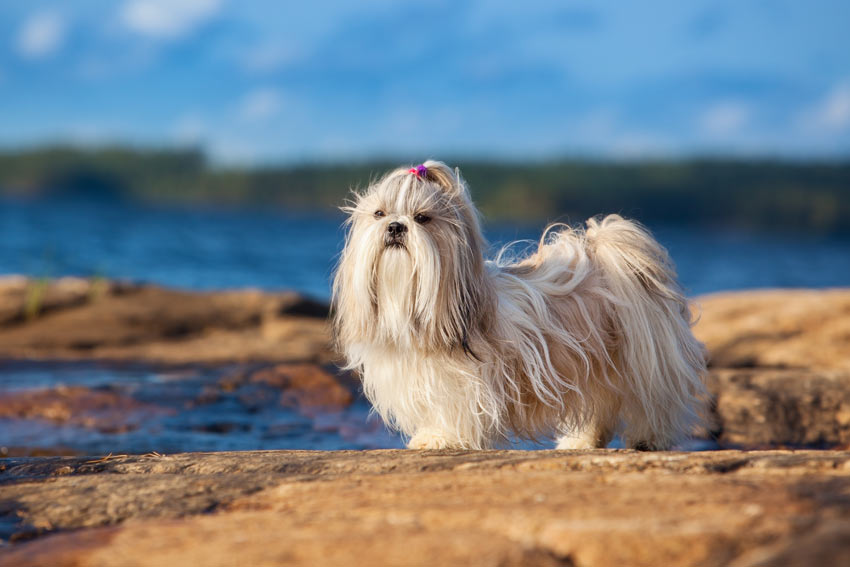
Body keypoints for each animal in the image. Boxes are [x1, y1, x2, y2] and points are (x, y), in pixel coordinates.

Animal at [332, 162, 704, 450]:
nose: (396, 226)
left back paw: (649, 438)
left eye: (422, 218)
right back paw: (581, 441)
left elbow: (454, 411)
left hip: (644, 360)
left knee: (655, 401)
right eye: (379, 213)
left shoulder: (466, 384)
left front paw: (441, 438)